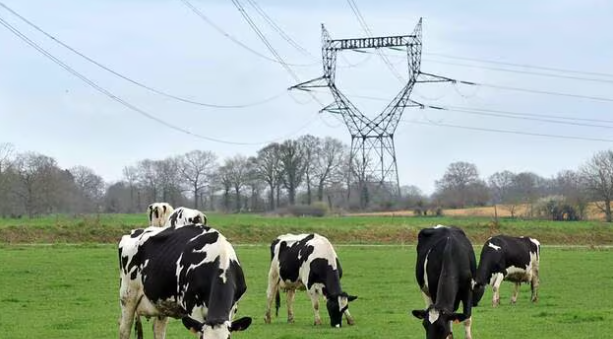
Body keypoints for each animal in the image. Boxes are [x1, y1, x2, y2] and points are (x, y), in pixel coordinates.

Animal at [117, 224, 251, 339]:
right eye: (203, 338)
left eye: (228, 338)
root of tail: (135, 231)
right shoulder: (193, 309)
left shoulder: (233, 308)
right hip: (128, 296)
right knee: (124, 330)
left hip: (161, 303)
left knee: (158, 329)